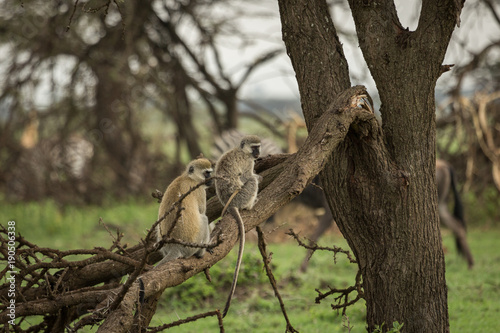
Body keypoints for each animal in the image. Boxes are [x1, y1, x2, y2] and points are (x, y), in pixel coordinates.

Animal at [214, 134, 262, 316]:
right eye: (254, 147)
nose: (258, 153)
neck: (243, 151)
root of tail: (232, 204)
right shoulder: (248, 162)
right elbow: (247, 176)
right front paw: (256, 176)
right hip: (242, 196)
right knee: (251, 181)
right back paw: (250, 204)